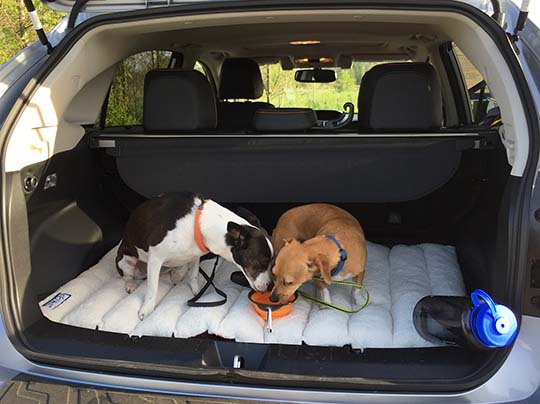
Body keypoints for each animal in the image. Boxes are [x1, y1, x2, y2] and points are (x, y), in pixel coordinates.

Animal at [115, 191, 272, 320]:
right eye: (261, 262)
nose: (271, 286)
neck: (197, 224)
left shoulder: (195, 255)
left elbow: (194, 275)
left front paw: (197, 292)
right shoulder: (155, 258)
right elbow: (152, 288)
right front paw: (146, 309)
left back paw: (176, 274)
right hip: (125, 259)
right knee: (127, 275)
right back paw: (130, 284)